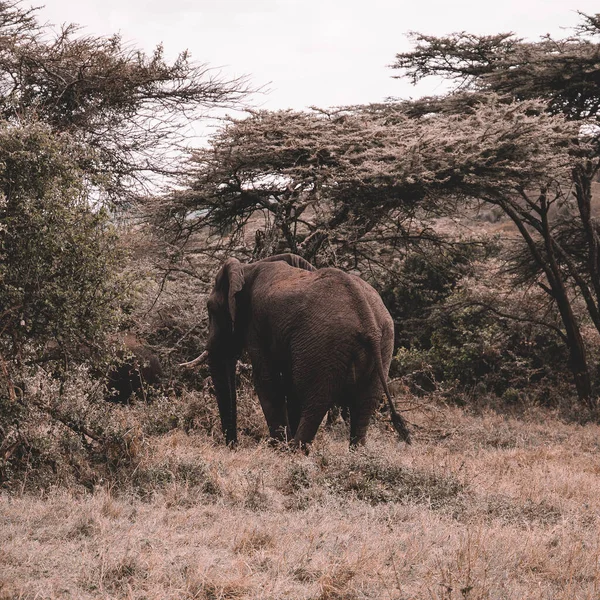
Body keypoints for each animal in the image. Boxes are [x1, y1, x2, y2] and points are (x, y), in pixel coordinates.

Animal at [180, 253, 410, 450]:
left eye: (211, 309)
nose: (233, 446)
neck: (247, 268)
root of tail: (366, 317)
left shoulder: (257, 325)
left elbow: (267, 381)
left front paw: (278, 449)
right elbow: (288, 387)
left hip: (325, 344)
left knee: (315, 401)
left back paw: (294, 454)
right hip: (384, 342)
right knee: (365, 404)